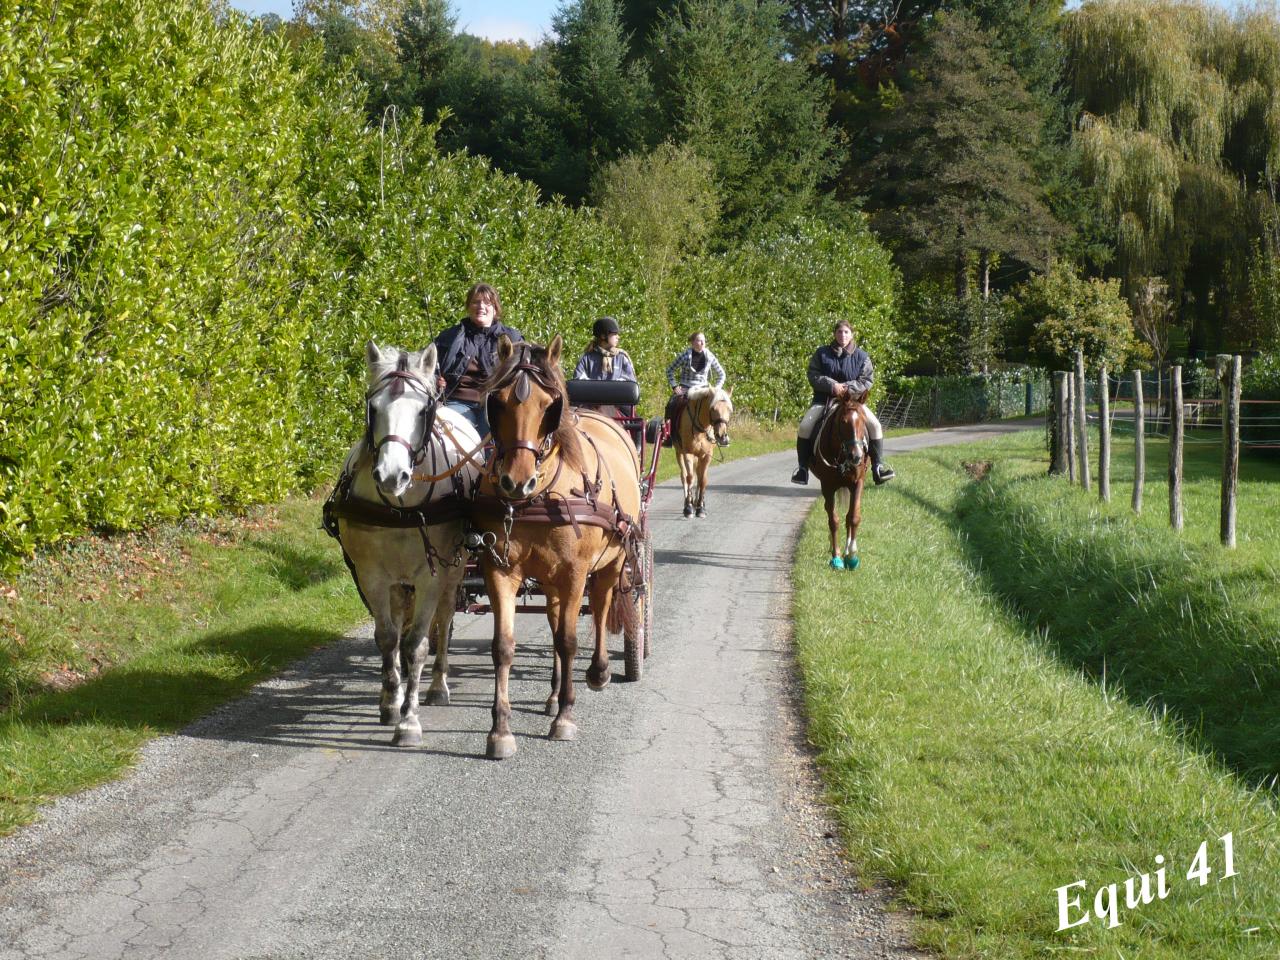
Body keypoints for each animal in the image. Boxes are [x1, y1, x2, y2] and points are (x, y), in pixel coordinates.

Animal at [320, 343, 481, 747]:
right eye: (373, 408)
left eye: (423, 410)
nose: (393, 475)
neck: (401, 506)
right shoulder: (372, 576)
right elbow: (388, 638)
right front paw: (391, 702)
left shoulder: (430, 577)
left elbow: (416, 644)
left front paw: (409, 719)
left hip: (454, 570)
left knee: (443, 620)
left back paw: (437, 686)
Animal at [473, 335, 645, 762]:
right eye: (498, 401)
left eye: (549, 405)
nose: (515, 481)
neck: (539, 494)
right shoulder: (500, 568)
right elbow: (504, 646)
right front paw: (500, 730)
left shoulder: (575, 572)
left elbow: (568, 641)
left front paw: (565, 717)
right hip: (552, 580)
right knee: (554, 621)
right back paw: (552, 695)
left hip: (612, 561)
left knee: (599, 608)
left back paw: (597, 673)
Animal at [670, 386, 732, 522]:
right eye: (713, 409)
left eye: (729, 410)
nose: (722, 437)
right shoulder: (688, 453)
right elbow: (689, 478)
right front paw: (688, 509)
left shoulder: (706, 456)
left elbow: (703, 480)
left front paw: (700, 508)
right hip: (679, 453)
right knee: (684, 476)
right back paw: (688, 503)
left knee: (698, 476)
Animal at [808, 391, 870, 570]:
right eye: (843, 421)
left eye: (864, 421)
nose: (856, 456)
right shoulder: (828, 486)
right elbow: (833, 521)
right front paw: (836, 557)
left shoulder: (857, 483)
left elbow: (853, 517)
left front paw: (851, 555)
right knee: (830, 512)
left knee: (848, 516)